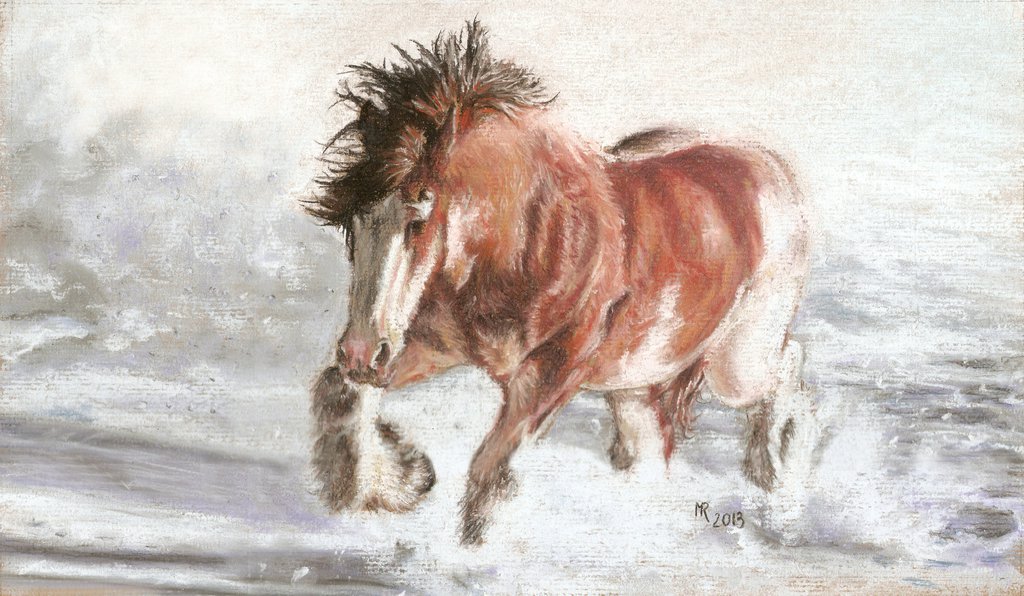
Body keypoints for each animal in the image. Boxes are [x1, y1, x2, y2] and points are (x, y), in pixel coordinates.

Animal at [306, 21, 813, 546]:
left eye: (418, 221)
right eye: (351, 223)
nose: (363, 353)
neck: (525, 243)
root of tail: (769, 167)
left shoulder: (551, 373)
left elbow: (490, 473)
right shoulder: (434, 346)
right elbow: (338, 393)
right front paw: (396, 480)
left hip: (736, 364)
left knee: (786, 370)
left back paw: (779, 471)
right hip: (634, 379)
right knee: (647, 449)